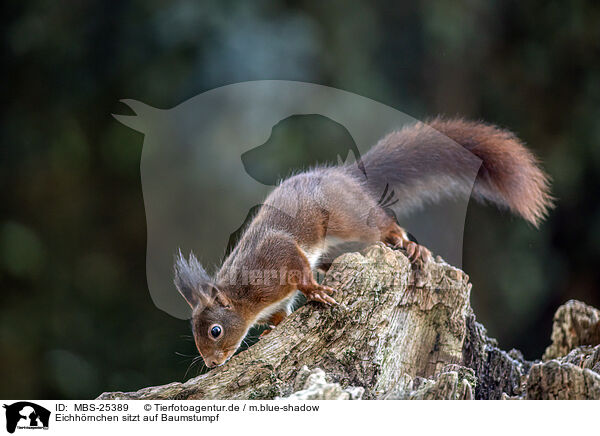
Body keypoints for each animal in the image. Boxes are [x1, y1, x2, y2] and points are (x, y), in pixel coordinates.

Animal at [172, 116, 552, 368]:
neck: (243, 299)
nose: (211, 364)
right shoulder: (273, 301)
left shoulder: (275, 256)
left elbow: (298, 271)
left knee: (382, 224)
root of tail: (347, 177)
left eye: (215, 331)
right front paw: (269, 332)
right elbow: (281, 315)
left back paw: (406, 243)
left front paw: (316, 291)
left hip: (348, 218)